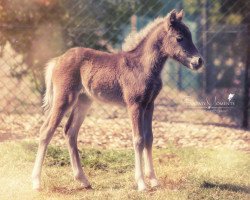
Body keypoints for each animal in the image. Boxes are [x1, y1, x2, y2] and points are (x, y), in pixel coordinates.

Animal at [31, 10, 203, 191]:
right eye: (179, 38)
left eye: (190, 35)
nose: (198, 61)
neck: (142, 65)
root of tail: (57, 60)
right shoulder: (134, 105)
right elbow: (138, 139)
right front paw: (141, 183)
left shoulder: (149, 105)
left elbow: (149, 138)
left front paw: (154, 180)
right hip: (64, 98)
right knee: (46, 130)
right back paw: (36, 182)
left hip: (84, 101)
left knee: (70, 131)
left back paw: (83, 180)